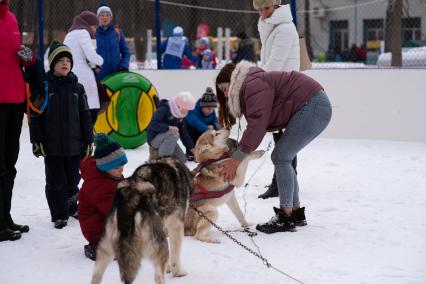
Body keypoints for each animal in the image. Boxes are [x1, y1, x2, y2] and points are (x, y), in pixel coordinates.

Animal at [92, 156, 194, 284]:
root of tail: (130, 197)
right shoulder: (176, 226)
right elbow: (175, 256)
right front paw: (178, 273)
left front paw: (169, 269)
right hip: (160, 246)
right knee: (158, 277)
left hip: (105, 249)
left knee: (96, 276)